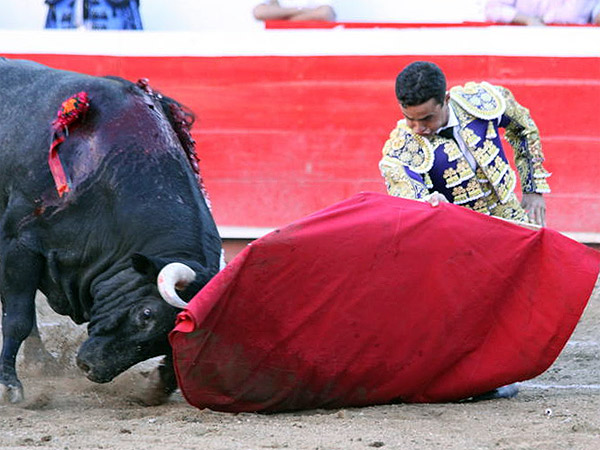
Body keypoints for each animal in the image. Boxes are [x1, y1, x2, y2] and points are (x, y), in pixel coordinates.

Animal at [0, 58, 223, 406]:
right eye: (146, 314)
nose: (91, 368)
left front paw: (157, 385)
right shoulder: (19, 243)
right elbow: (18, 318)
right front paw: (9, 385)